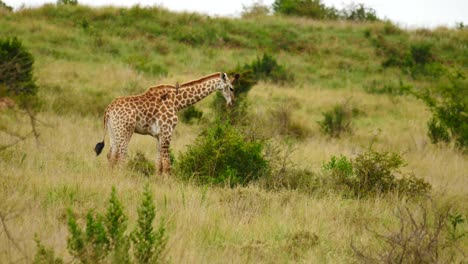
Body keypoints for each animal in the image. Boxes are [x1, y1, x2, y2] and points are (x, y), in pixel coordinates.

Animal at [95, 72, 241, 175]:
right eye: (231, 88)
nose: (232, 103)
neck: (177, 102)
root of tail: (108, 109)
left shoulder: (159, 135)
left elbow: (158, 162)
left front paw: (157, 181)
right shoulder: (167, 132)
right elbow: (167, 164)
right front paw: (167, 184)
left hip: (113, 131)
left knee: (111, 154)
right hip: (125, 130)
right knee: (121, 155)